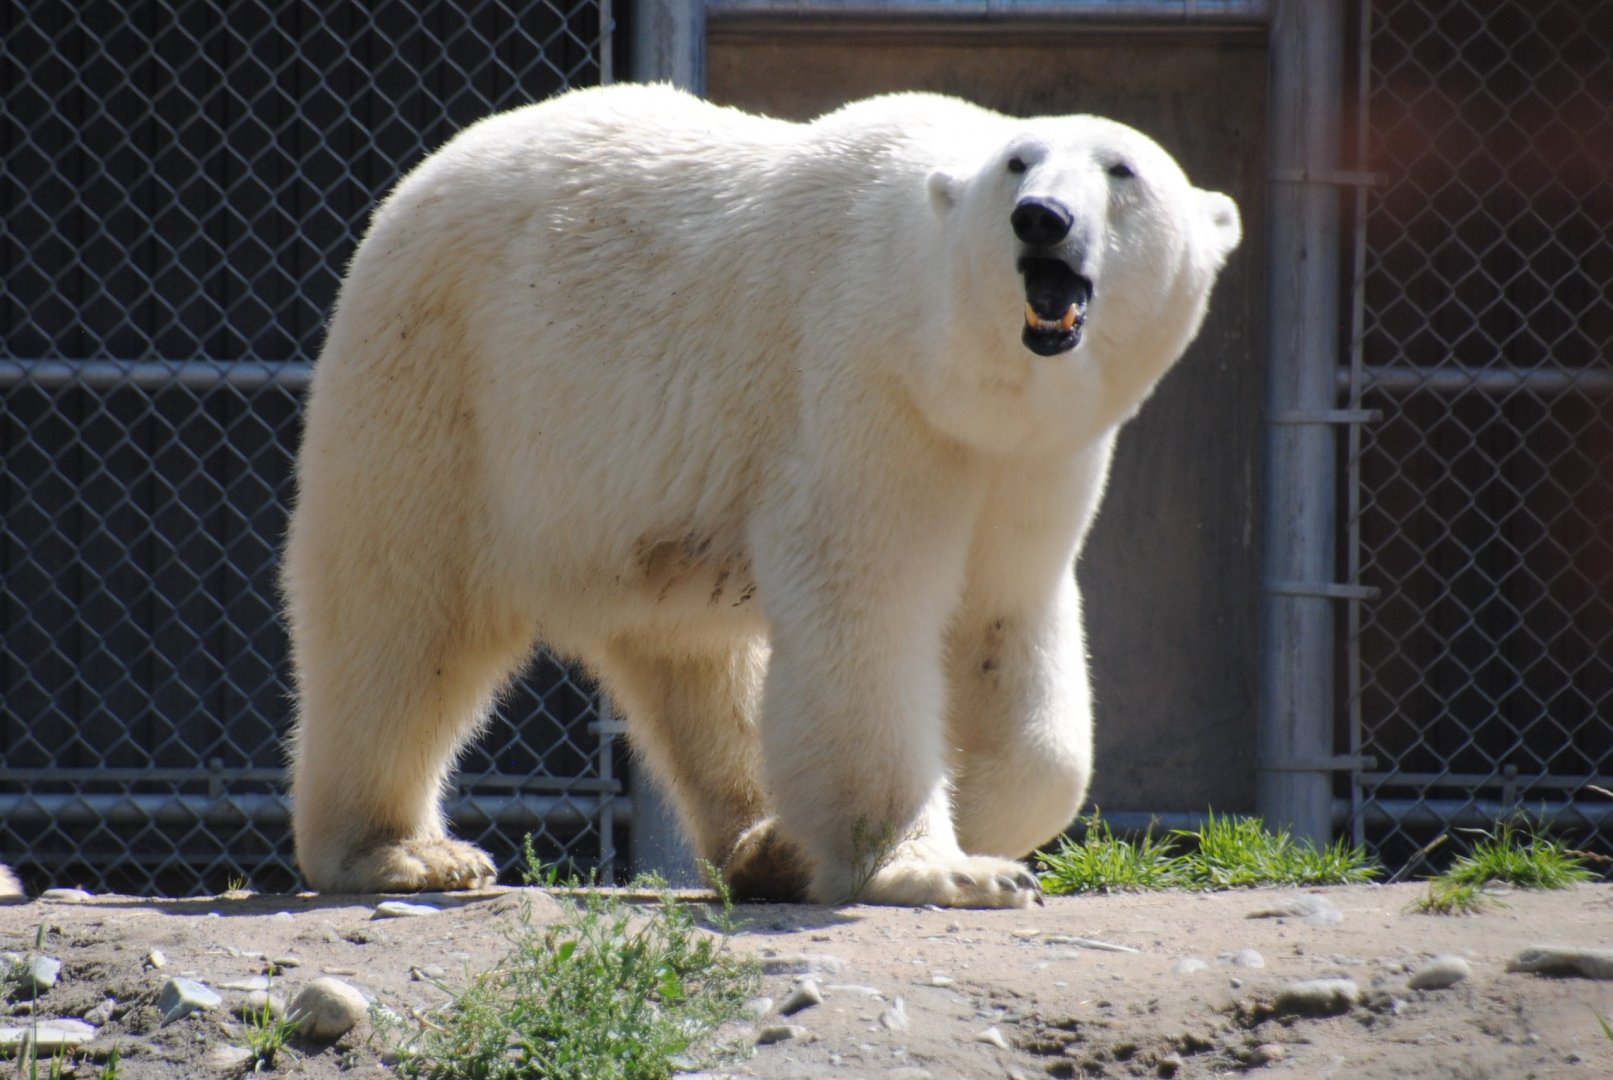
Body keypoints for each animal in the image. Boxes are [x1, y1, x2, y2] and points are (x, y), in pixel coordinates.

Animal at [284, 83, 1240, 909]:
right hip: (446, 382)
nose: (1042, 219)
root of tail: (422, 177)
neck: (946, 365)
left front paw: (880, 832)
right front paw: (936, 868)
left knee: (695, 662)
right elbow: (864, 612)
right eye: (1018, 162)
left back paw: (754, 846)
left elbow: (1007, 632)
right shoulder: (859, 390)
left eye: (1122, 169)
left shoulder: (1030, 462)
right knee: (406, 616)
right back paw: (401, 851)